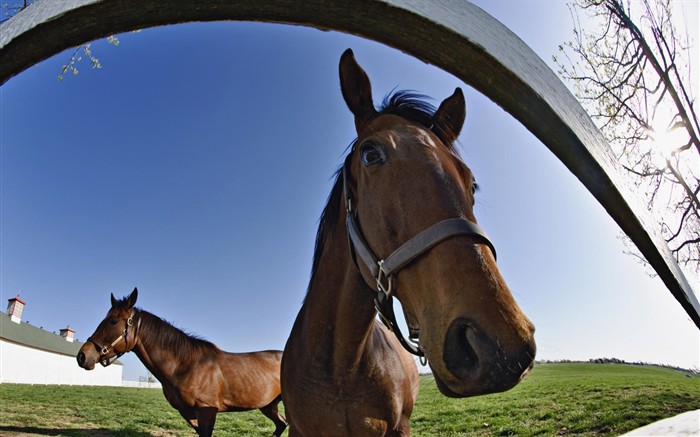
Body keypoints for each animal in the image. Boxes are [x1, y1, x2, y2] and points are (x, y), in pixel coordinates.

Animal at [75, 286, 286, 436]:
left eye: (113, 321)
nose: (83, 356)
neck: (185, 366)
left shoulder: (207, 411)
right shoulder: (188, 413)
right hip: (268, 406)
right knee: (281, 425)